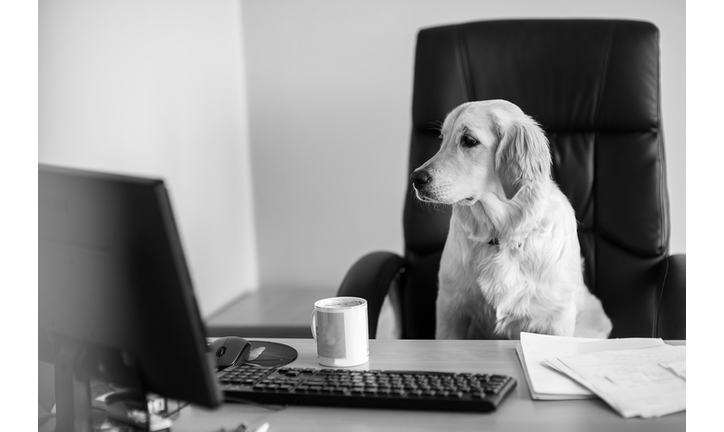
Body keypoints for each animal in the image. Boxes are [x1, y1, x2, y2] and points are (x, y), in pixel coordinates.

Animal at [412, 99, 612, 340]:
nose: (416, 178)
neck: (501, 237)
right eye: (443, 138)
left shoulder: (557, 319)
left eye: (469, 140)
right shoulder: (450, 308)